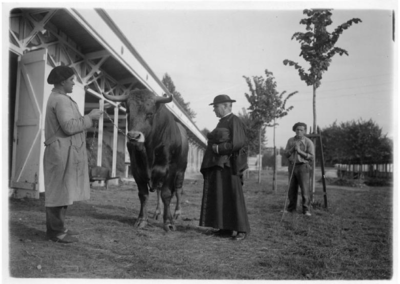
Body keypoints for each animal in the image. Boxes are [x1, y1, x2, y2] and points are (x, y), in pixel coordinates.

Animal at [104, 90, 190, 232]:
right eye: (128, 112)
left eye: (149, 114)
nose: (133, 137)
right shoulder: (136, 169)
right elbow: (144, 195)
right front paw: (142, 219)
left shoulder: (170, 168)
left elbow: (166, 194)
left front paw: (168, 222)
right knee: (160, 190)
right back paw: (157, 212)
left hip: (181, 171)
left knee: (177, 190)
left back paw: (177, 212)